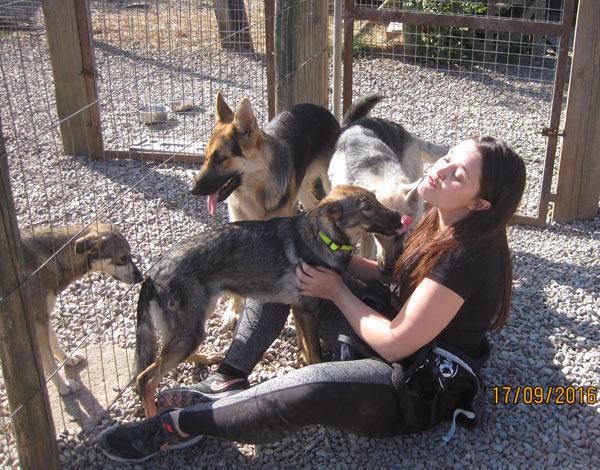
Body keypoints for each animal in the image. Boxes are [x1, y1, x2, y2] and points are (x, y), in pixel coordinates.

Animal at [19, 224, 143, 396]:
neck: (51, 258)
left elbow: (54, 340)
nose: (141, 277)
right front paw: (64, 386)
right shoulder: (37, 322)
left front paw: (68, 358)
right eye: (122, 258)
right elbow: (49, 361)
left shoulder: (43, 314)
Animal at [134, 185, 410, 416]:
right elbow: (315, 355)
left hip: (196, 321)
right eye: (366, 207)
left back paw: (203, 360)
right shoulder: (308, 310)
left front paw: (303, 359)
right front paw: (313, 368)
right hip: (190, 329)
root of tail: (153, 273)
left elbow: (306, 346)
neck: (322, 237)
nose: (401, 218)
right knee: (146, 378)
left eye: (375, 199)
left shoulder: (299, 309)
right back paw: (153, 416)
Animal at [190, 91, 340, 326]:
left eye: (220, 158)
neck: (255, 192)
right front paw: (234, 310)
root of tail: (318, 108)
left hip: (328, 181)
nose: (192, 189)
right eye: (205, 157)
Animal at [328, 93, 450, 274]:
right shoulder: (366, 234)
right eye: (377, 235)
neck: (381, 176)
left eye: (400, 235)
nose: (386, 270)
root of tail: (409, 135)